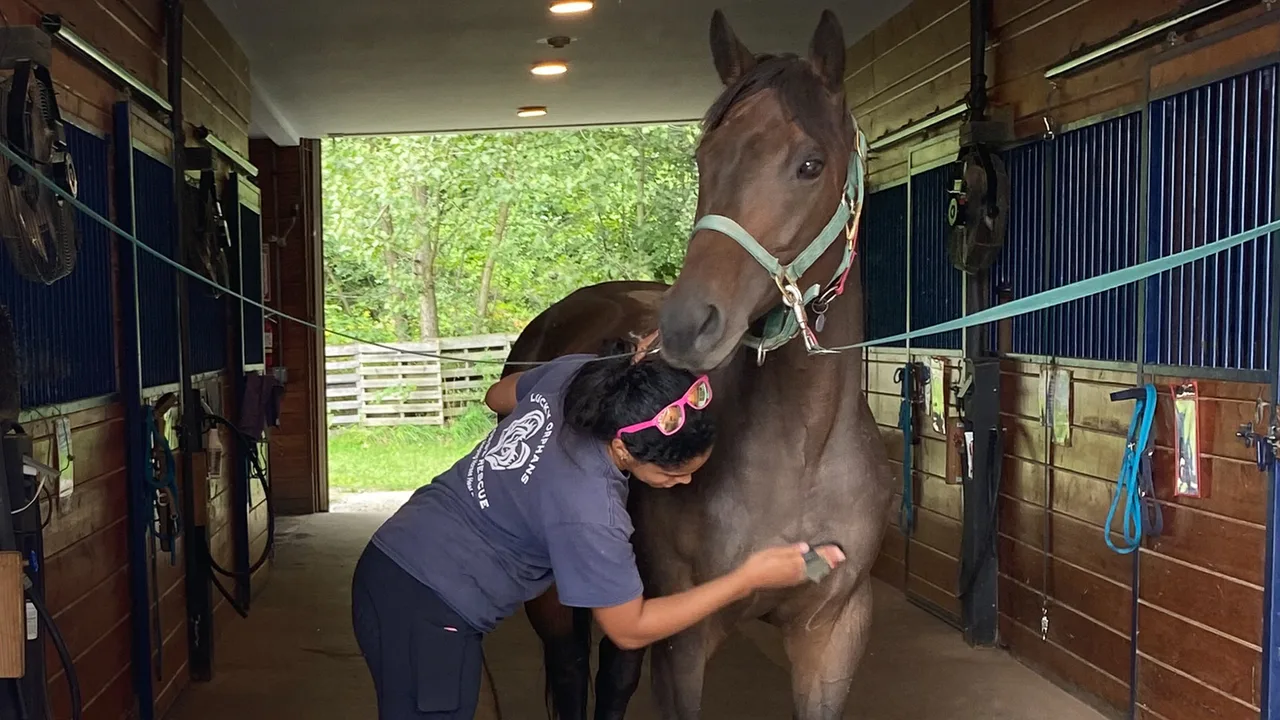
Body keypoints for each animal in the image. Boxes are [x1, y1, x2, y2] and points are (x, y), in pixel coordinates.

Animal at [503, 10, 894, 719]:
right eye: (703, 159)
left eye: (810, 164)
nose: (688, 324)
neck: (802, 451)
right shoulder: (682, 641)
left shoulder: (833, 635)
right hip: (553, 597)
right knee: (570, 672)